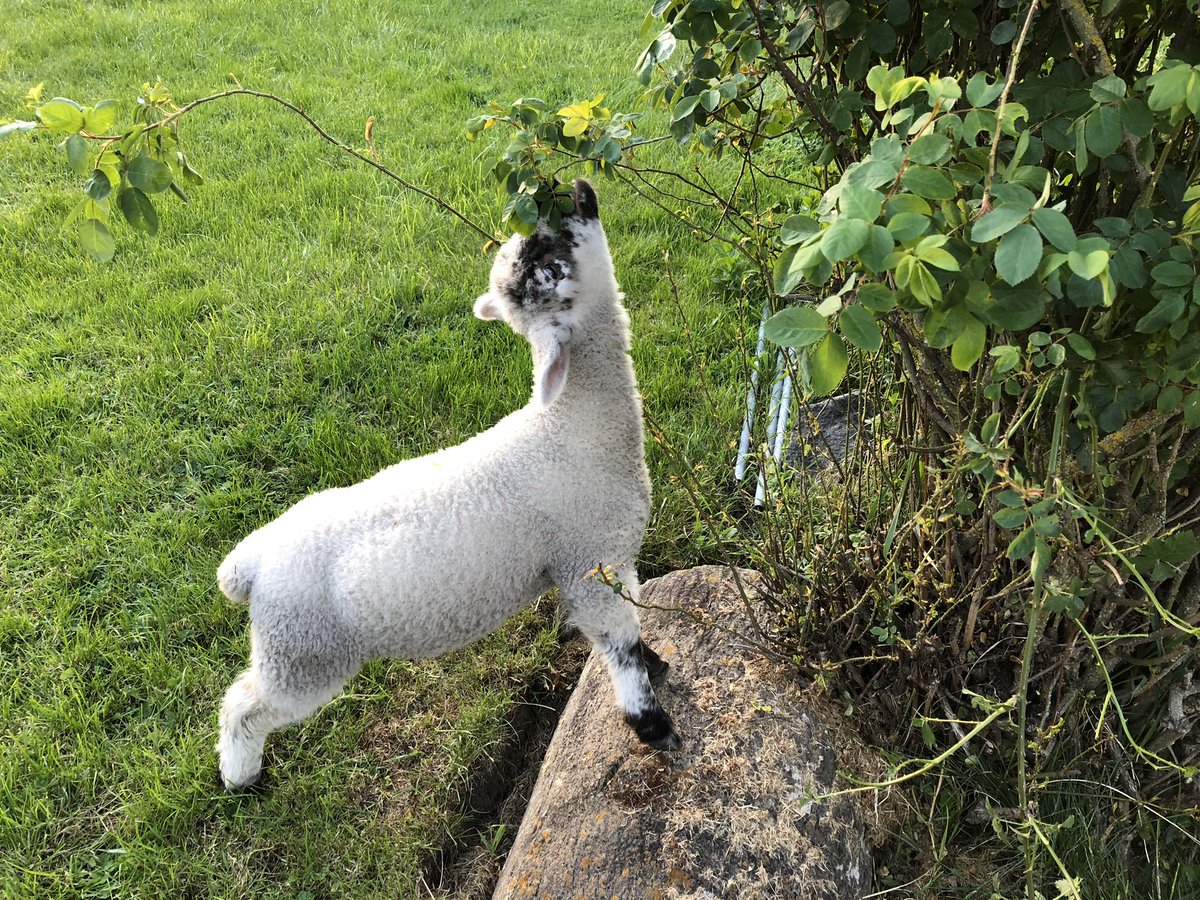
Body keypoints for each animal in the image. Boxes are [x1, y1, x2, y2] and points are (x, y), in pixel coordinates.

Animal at [218, 180, 686, 792]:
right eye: (549, 268)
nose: (571, 187)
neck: (574, 423)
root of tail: (249, 564)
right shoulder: (588, 562)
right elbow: (619, 646)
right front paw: (653, 726)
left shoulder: (610, 559)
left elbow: (634, 627)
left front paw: (657, 664)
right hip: (302, 651)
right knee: (244, 705)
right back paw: (239, 774)